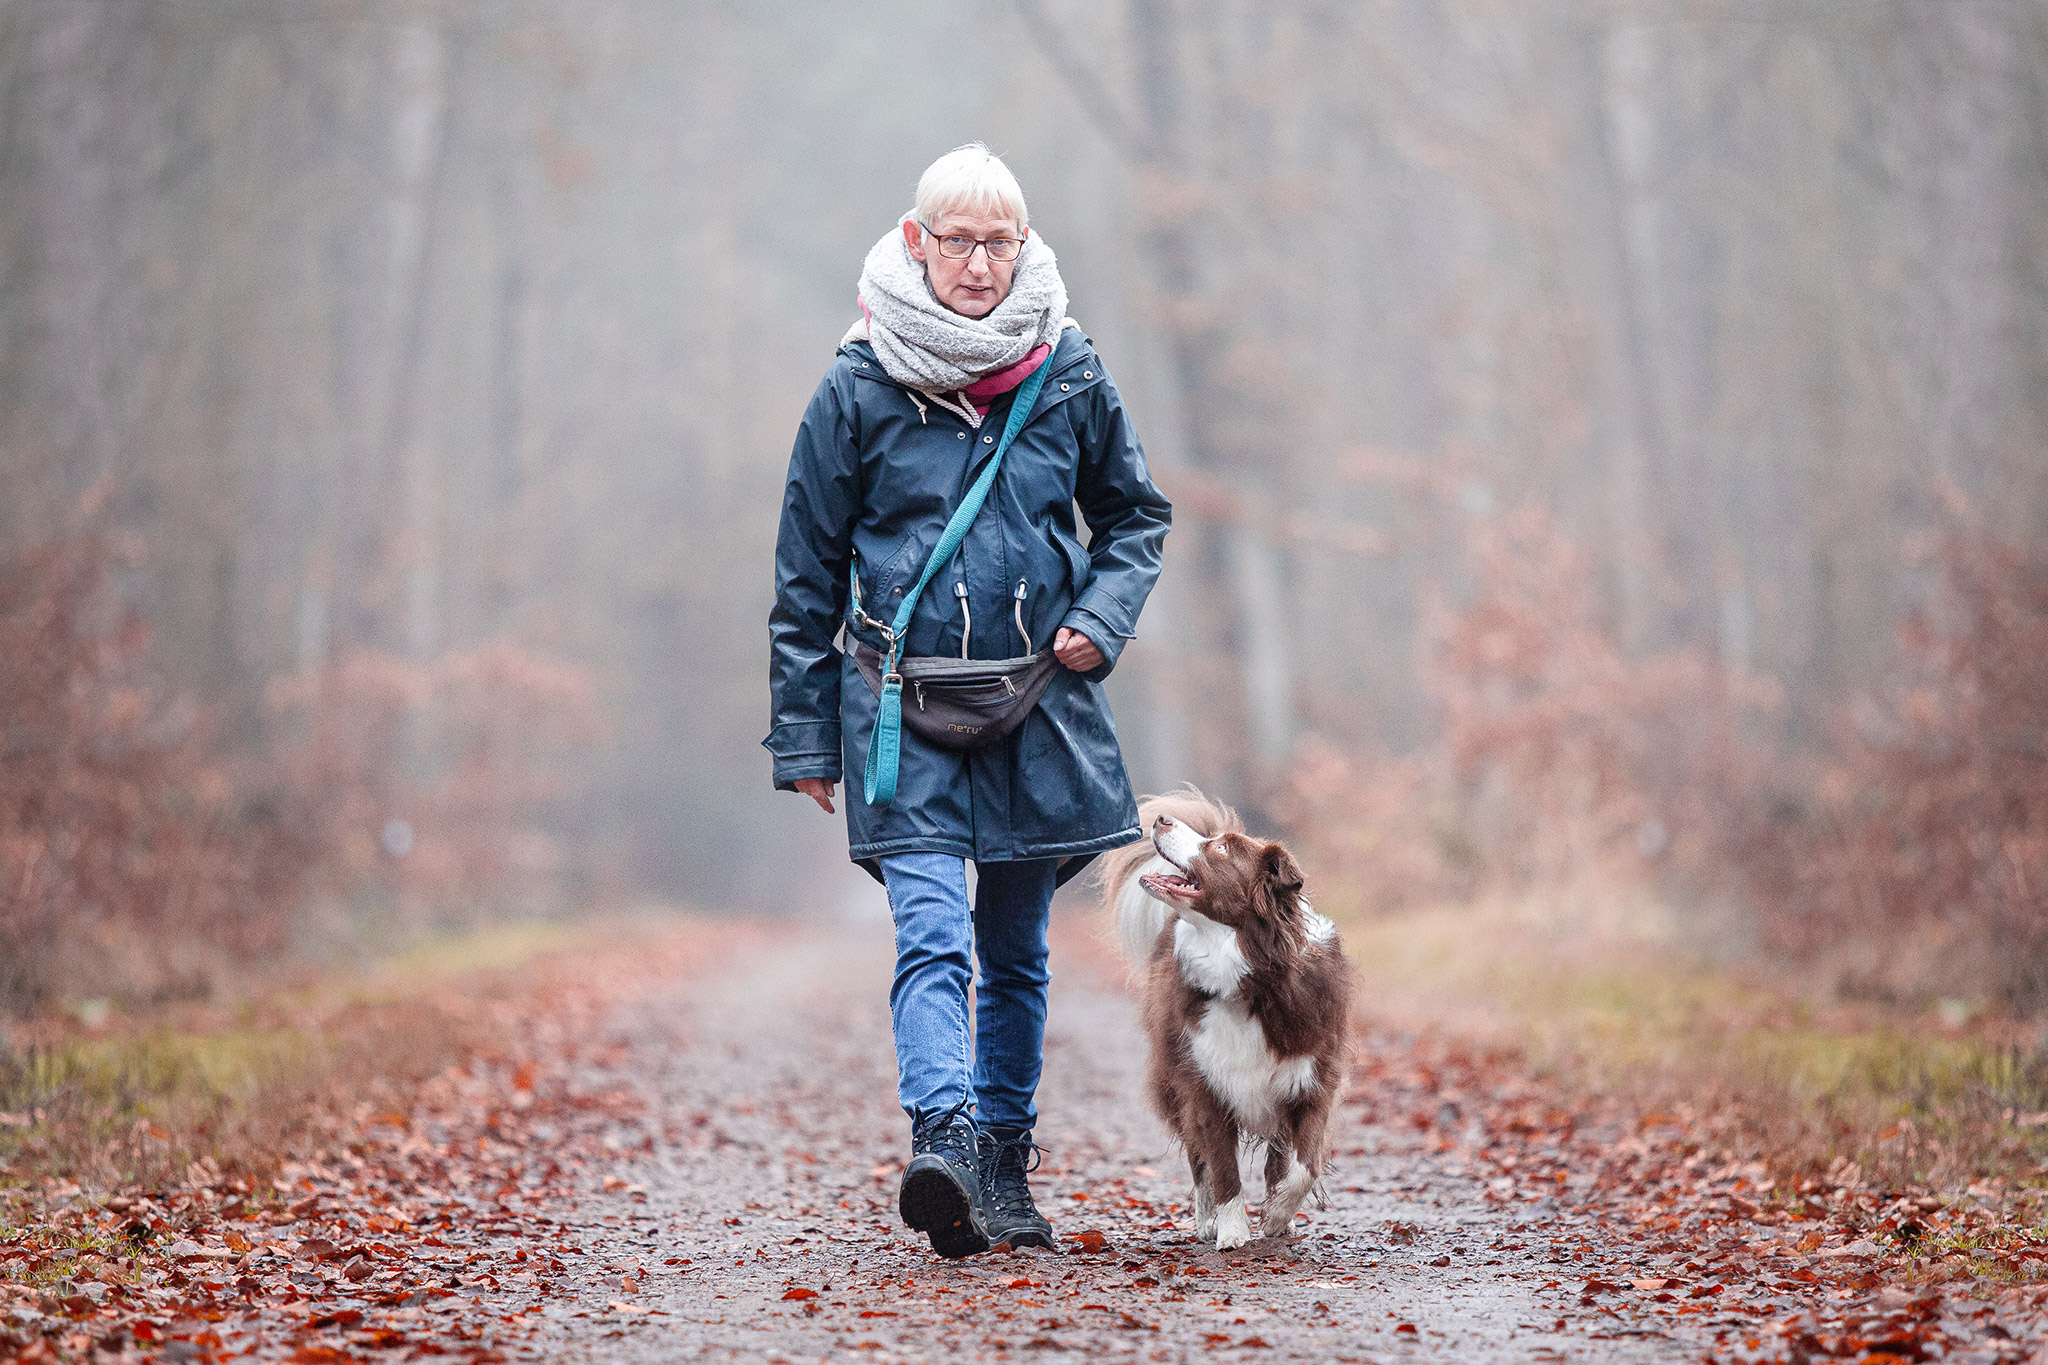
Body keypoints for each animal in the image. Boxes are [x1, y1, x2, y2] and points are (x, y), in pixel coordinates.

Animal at [1097, 794, 1351, 1252]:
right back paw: (1206, 1219)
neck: (1248, 979)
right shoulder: (1204, 1080)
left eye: (1220, 849)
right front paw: (1232, 1231)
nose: (1161, 820)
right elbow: (1221, 1165)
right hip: (1172, 1075)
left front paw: (1277, 1214)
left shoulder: (1311, 1078)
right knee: (1198, 1160)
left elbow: (1305, 1163)